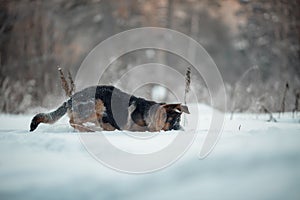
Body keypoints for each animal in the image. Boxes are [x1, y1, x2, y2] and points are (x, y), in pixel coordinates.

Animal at [30, 85, 190, 132]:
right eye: (172, 120)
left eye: (179, 120)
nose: (181, 130)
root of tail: (70, 99)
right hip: (97, 103)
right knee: (72, 121)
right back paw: (90, 129)